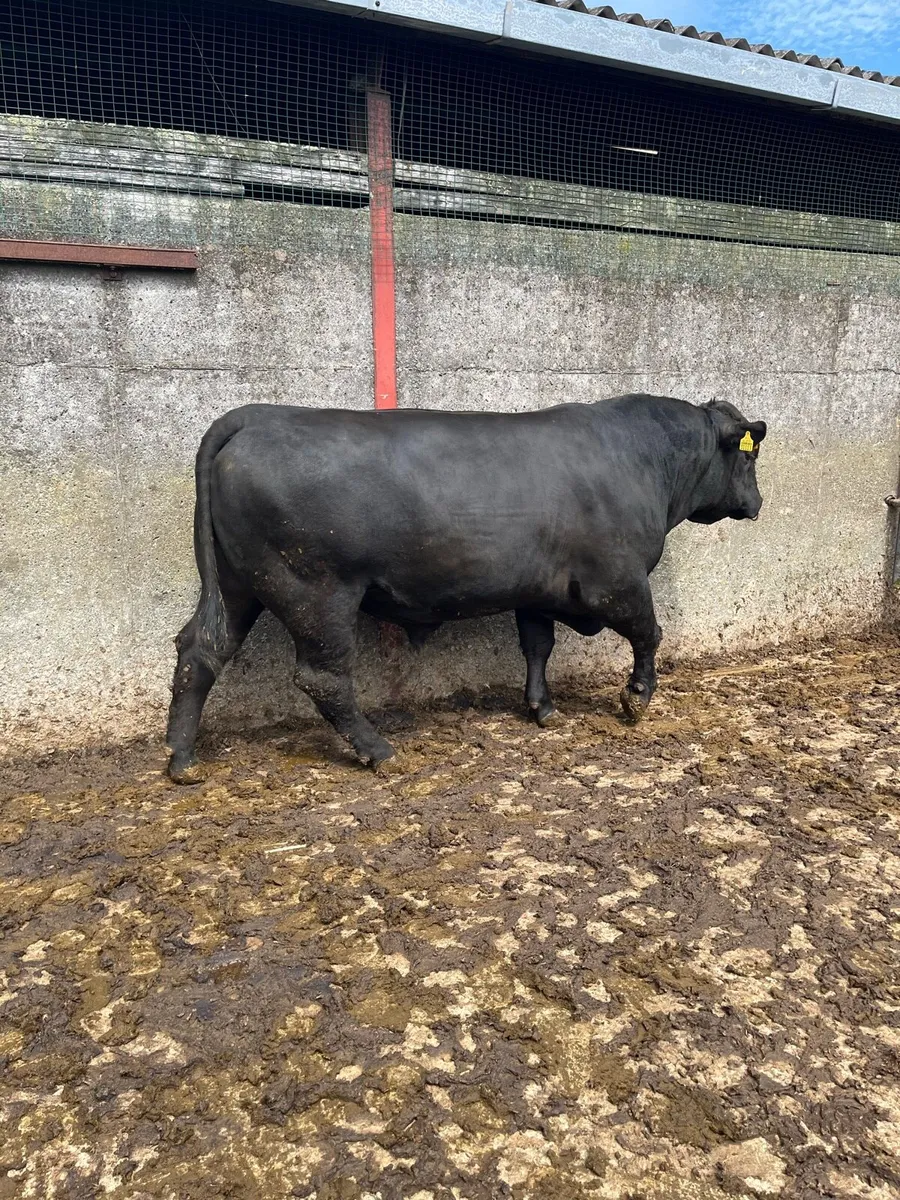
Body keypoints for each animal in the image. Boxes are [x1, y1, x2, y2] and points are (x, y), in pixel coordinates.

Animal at [165, 394, 766, 782]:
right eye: (749, 453)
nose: (757, 504)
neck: (643, 460)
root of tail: (257, 417)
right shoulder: (617, 581)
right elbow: (649, 632)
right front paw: (637, 698)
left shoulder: (536, 589)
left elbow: (537, 645)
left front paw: (541, 708)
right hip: (315, 590)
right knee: (323, 677)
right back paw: (379, 750)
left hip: (239, 585)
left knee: (201, 649)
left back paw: (181, 758)